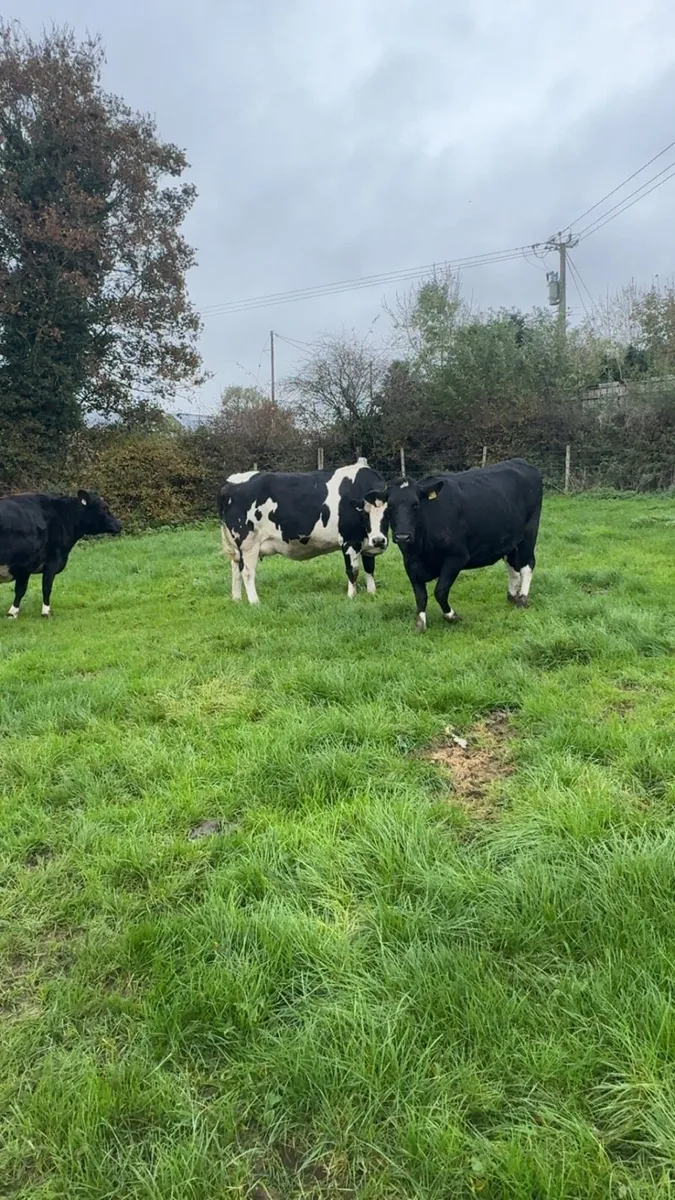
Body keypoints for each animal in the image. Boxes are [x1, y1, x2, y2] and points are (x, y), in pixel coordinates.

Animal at [0, 490, 122, 618]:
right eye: (105, 508)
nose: (119, 525)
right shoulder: (51, 562)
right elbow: (45, 588)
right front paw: (46, 612)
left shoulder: (24, 568)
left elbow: (20, 590)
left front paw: (12, 614)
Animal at [218, 458, 389, 603]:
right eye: (365, 514)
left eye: (388, 513)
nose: (379, 540)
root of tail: (229, 483)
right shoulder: (350, 540)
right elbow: (353, 571)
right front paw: (351, 597)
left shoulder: (366, 543)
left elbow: (369, 568)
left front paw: (372, 593)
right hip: (248, 543)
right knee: (247, 571)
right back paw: (254, 602)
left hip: (237, 547)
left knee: (235, 568)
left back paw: (237, 599)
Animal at [373, 458, 543, 631]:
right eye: (390, 506)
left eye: (416, 504)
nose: (402, 536)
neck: (421, 548)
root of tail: (520, 461)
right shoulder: (409, 561)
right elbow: (420, 596)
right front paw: (420, 623)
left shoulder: (457, 557)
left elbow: (440, 591)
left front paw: (451, 616)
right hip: (510, 540)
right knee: (513, 567)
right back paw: (512, 596)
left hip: (529, 532)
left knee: (527, 565)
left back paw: (522, 599)